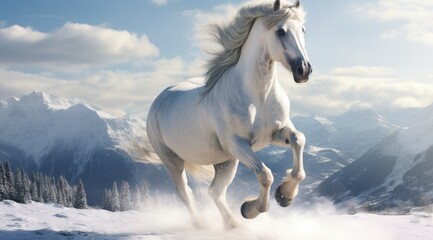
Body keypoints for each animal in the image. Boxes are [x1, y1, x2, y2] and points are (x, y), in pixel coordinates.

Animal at [132, 0, 310, 229]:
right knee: (184, 191)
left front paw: (285, 195)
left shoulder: (276, 133)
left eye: (303, 30)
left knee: (214, 191)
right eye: (280, 31)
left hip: (225, 161)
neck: (257, 96)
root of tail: (161, 98)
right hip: (173, 160)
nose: (304, 70)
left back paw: (232, 224)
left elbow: (298, 140)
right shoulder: (237, 144)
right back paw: (201, 224)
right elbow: (265, 175)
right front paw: (250, 209)